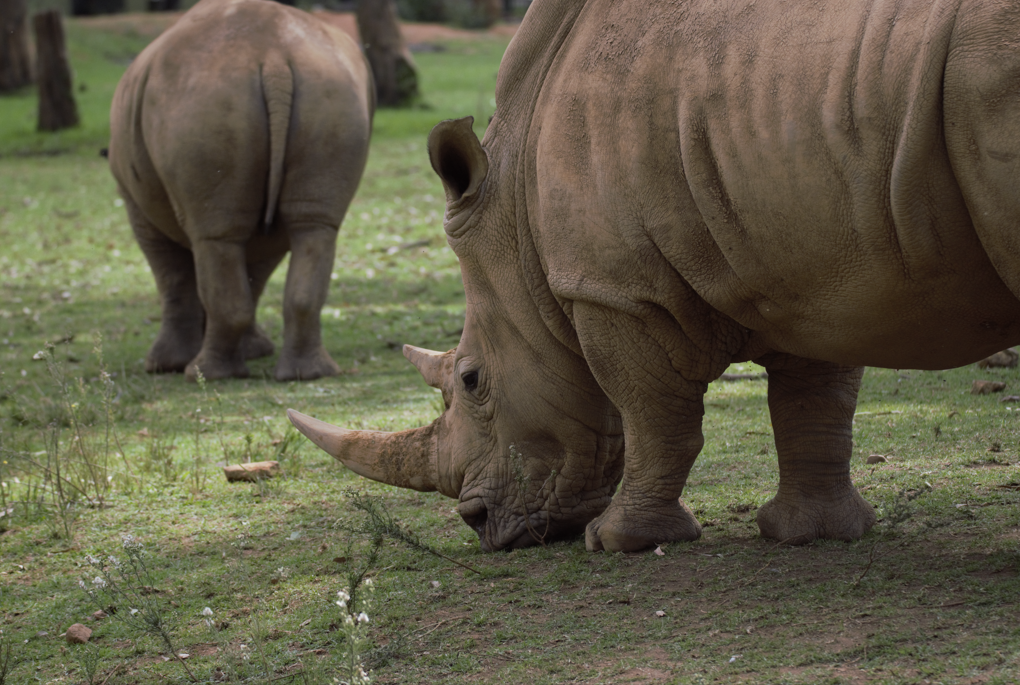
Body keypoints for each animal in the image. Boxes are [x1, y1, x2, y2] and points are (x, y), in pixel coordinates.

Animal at [109, 0, 373, 381]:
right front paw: (256, 351)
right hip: (331, 91)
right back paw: (307, 374)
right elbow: (255, 272)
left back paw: (203, 374)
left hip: (202, 98)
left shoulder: (136, 207)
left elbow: (172, 278)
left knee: (215, 238)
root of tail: (274, 57)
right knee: (313, 227)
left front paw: (161, 365)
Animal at [289, 0, 1020, 552]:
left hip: (986, 63)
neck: (516, 214)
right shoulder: (813, 261)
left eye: (471, 381)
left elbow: (654, 413)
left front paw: (619, 541)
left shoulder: (616, 289)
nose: (478, 524)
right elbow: (816, 402)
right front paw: (812, 534)